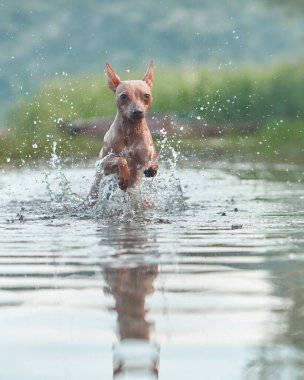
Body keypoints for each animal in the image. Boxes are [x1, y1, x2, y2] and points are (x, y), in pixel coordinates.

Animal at [88, 61, 158, 205]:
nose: (137, 112)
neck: (130, 131)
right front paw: (124, 177)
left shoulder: (146, 154)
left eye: (146, 96)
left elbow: (151, 160)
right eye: (123, 96)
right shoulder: (104, 164)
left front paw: (152, 167)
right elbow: (121, 159)